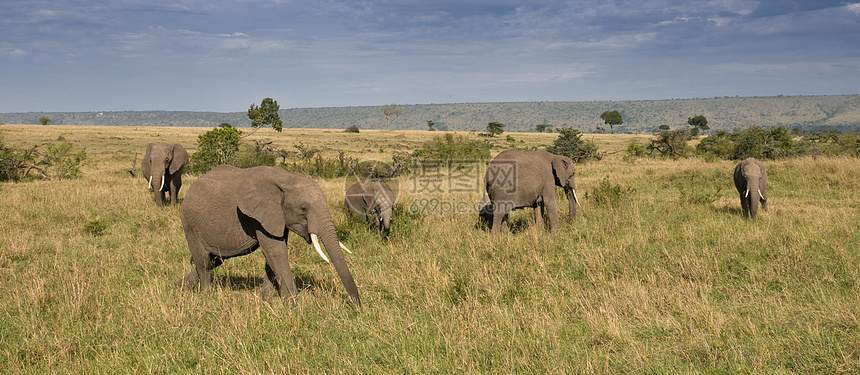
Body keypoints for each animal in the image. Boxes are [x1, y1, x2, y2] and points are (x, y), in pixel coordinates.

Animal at [178, 166, 360, 306]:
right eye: (303, 209)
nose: (357, 306)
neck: (286, 179)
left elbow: (272, 254)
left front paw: (266, 302)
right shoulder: (258, 216)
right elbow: (276, 252)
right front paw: (293, 308)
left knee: (215, 259)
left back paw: (180, 287)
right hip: (191, 224)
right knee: (204, 261)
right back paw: (206, 296)